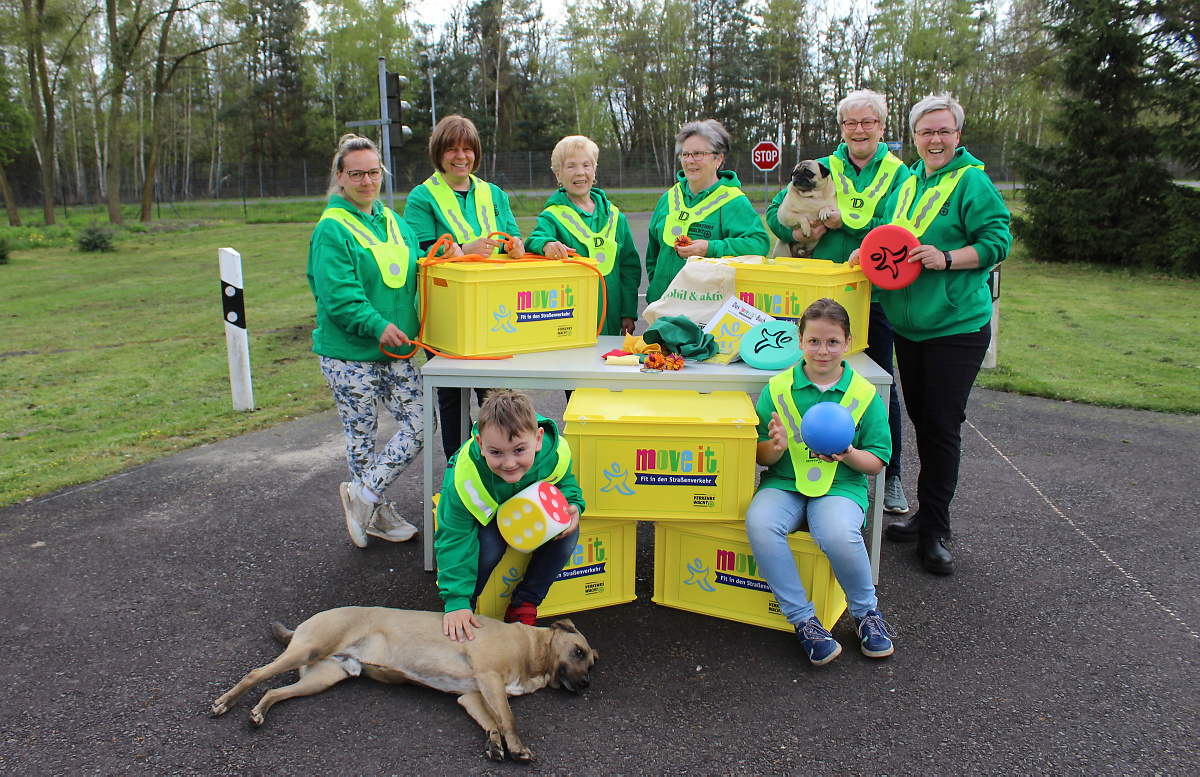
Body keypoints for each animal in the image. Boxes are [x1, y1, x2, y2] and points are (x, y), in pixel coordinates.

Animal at [213, 604, 600, 762]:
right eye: (579, 651)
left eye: (593, 664)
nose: (585, 685)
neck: (533, 650)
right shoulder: (489, 678)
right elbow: (508, 718)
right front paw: (517, 747)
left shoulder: (473, 696)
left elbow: (492, 721)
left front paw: (494, 744)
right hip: (311, 648)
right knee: (257, 675)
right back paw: (225, 702)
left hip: (323, 677)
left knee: (274, 690)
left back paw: (259, 712)